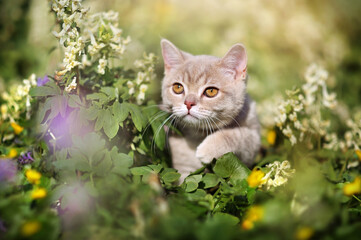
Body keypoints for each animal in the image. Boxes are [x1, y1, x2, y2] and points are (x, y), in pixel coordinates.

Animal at [160, 39, 258, 182]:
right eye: (178, 87)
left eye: (211, 91)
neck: (197, 135)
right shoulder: (183, 167)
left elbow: (239, 134)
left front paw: (208, 148)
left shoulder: (252, 143)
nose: (188, 103)